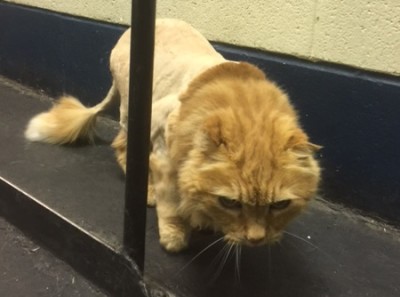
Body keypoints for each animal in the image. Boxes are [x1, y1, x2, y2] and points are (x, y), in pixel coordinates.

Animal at [25, 18, 320, 251]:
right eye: (231, 202)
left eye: (280, 205)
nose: (256, 240)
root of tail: (127, 33)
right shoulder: (163, 151)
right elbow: (172, 206)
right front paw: (175, 236)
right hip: (132, 113)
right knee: (122, 147)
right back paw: (146, 191)